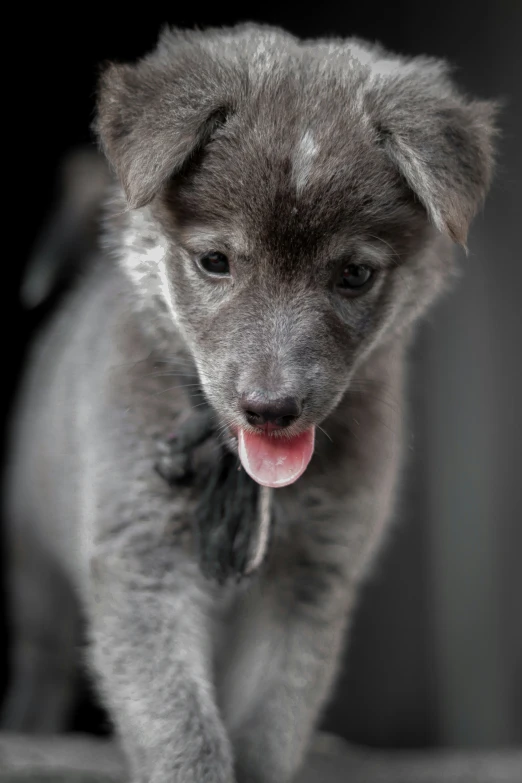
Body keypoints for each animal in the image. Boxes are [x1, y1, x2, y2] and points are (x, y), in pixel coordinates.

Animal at [3, 23, 496, 783]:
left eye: (355, 274)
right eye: (215, 262)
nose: (271, 407)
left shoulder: (311, 578)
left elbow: (270, 721)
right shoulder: (142, 562)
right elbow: (181, 726)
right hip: (37, 573)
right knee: (42, 665)